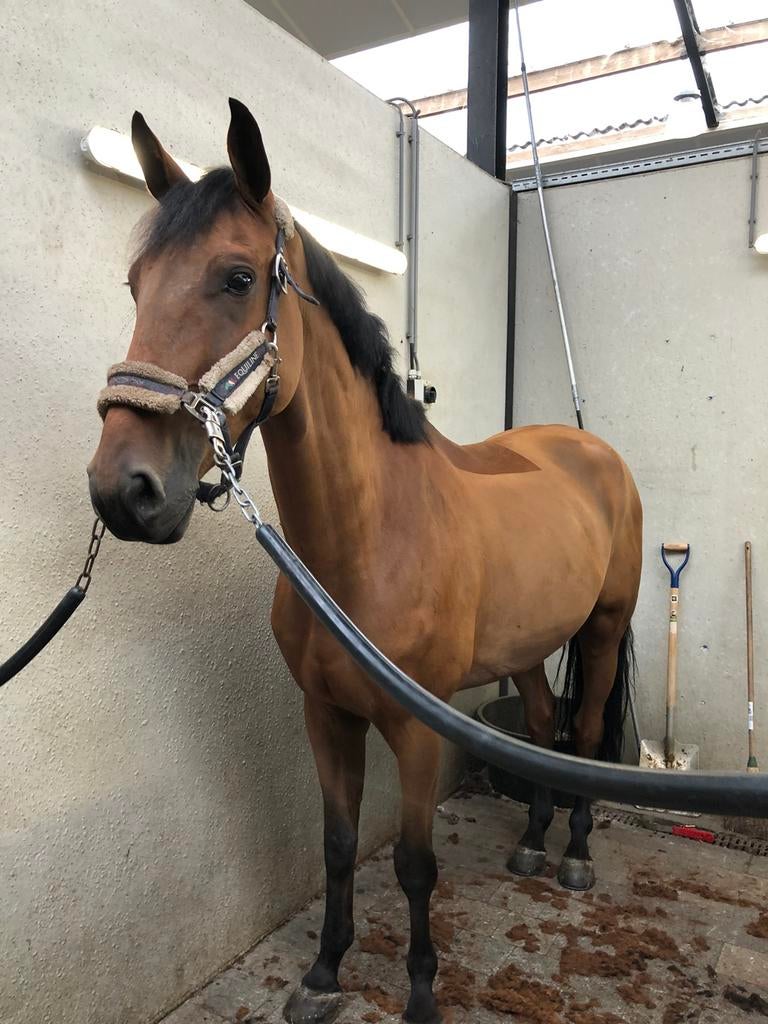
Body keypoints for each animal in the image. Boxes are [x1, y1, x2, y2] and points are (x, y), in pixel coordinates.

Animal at [88, 99, 642, 1024]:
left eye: (237, 278)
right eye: (135, 284)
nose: (121, 491)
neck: (365, 546)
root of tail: (592, 453)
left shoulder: (417, 730)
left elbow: (415, 863)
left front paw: (419, 993)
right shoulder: (326, 715)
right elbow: (340, 843)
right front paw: (324, 972)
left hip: (602, 631)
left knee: (587, 734)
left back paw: (573, 855)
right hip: (529, 645)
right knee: (537, 723)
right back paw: (530, 845)